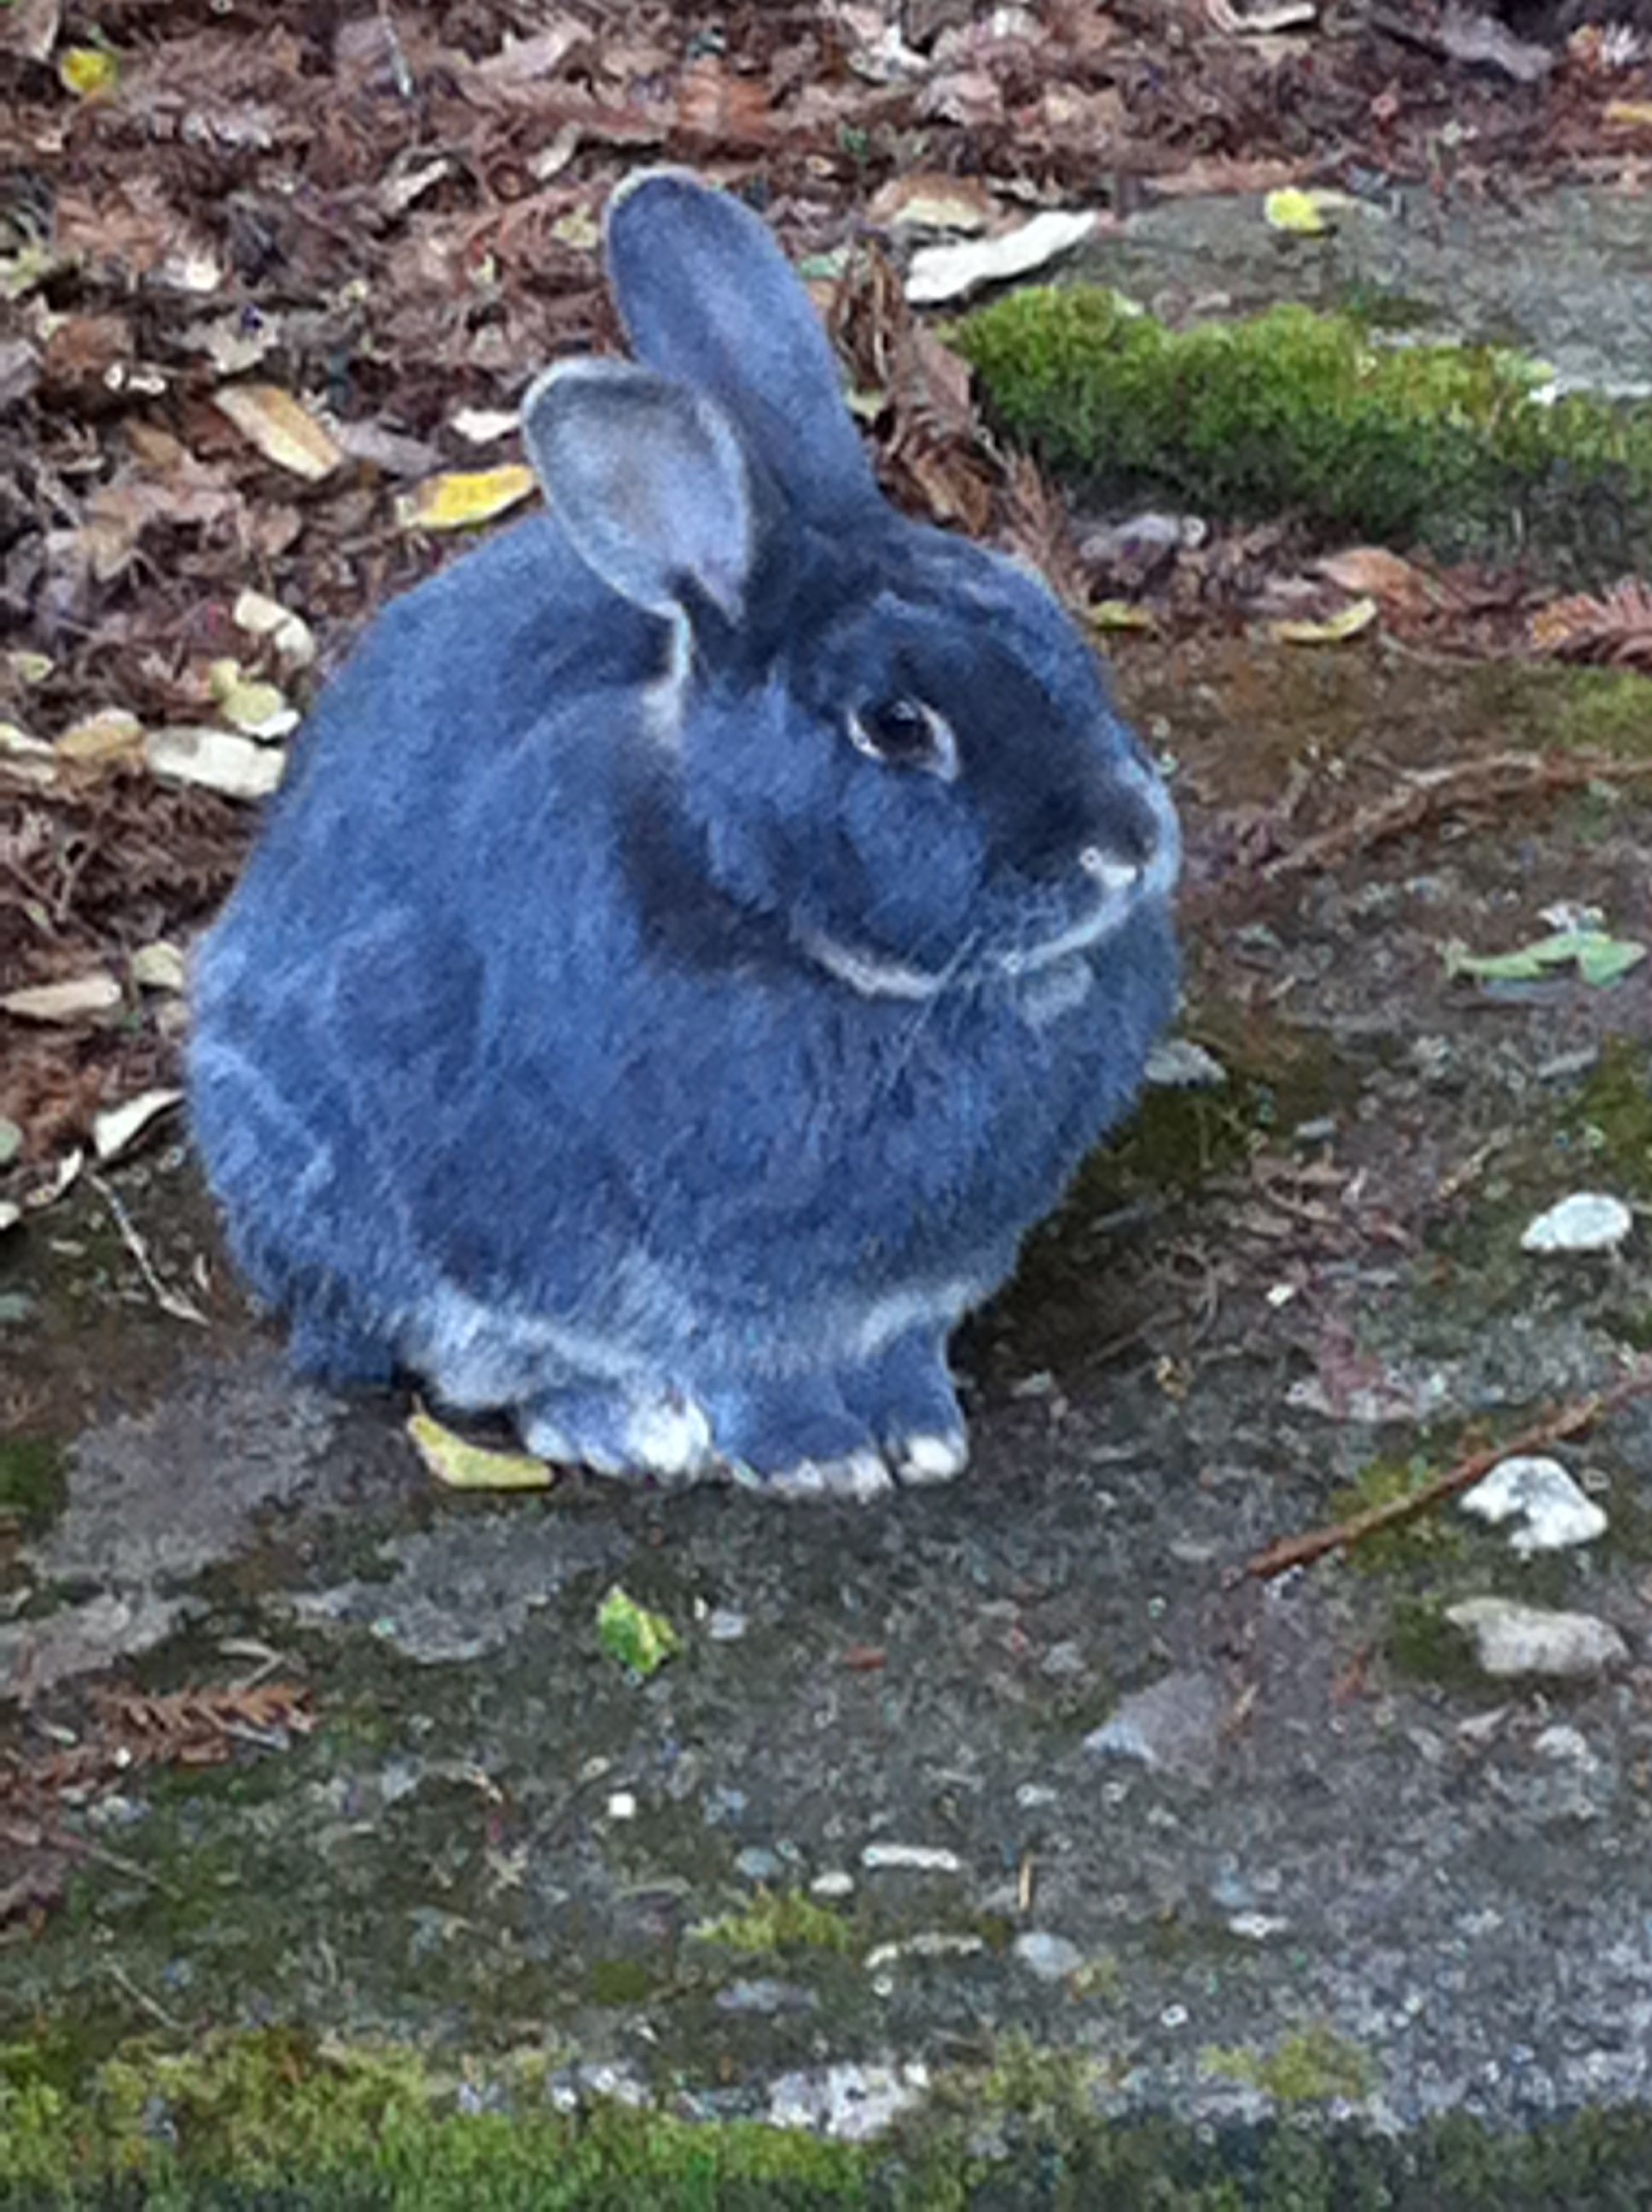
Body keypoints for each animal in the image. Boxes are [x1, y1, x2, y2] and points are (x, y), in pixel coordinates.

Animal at [189, 167, 1180, 1501]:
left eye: (1052, 625)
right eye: (896, 725)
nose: (1128, 844)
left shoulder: (915, 1291)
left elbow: (899, 1351)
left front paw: (919, 1435)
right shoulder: (678, 1286)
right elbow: (734, 1369)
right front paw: (816, 1461)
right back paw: (626, 1429)